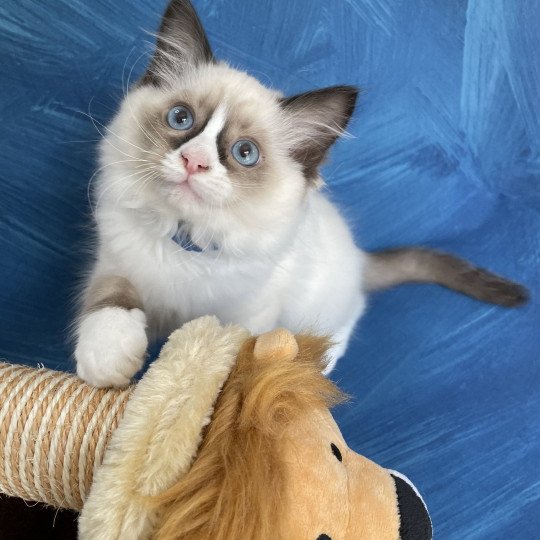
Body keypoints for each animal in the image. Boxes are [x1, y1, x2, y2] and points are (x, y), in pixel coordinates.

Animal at [74, 1, 524, 388]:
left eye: (245, 153)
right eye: (180, 119)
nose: (194, 162)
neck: (185, 240)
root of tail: (359, 256)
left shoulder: (247, 311)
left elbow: (232, 351)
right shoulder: (114, 263)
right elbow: (109, 301)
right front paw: (108, 361)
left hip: (321, 302)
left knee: (349, 317)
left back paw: (319, 362)